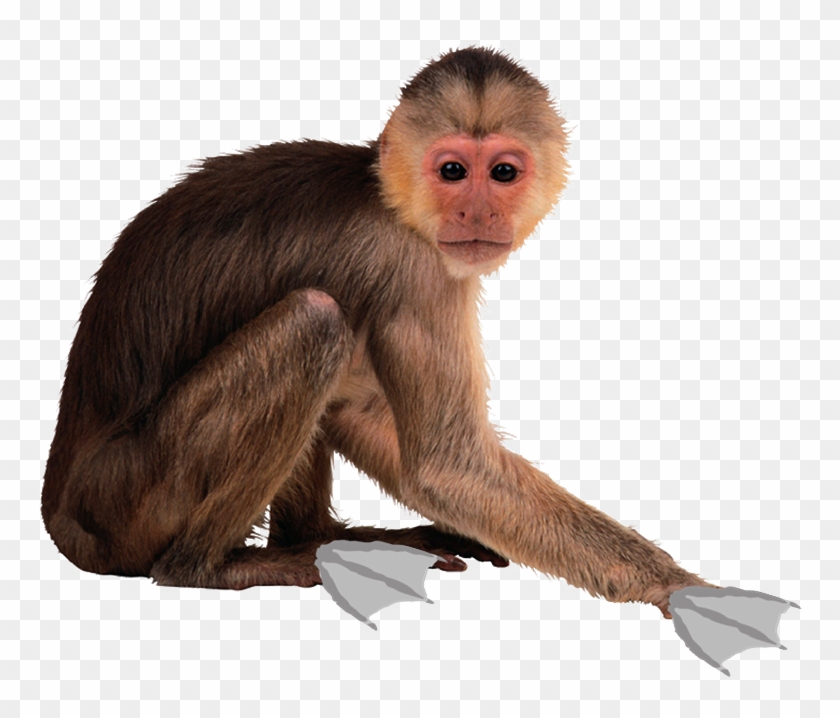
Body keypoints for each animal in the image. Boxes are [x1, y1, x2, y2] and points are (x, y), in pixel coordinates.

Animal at [42, 47, 712, 617]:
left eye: (502, 172)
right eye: (452, 170)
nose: (477, 212)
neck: (394, 205)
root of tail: (61, 513)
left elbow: (361, 412)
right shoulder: (416, 267)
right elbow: (446, 467)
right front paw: (682, 588)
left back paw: (323, 537)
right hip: (130, 500)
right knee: (316, 319)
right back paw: (209, 567)